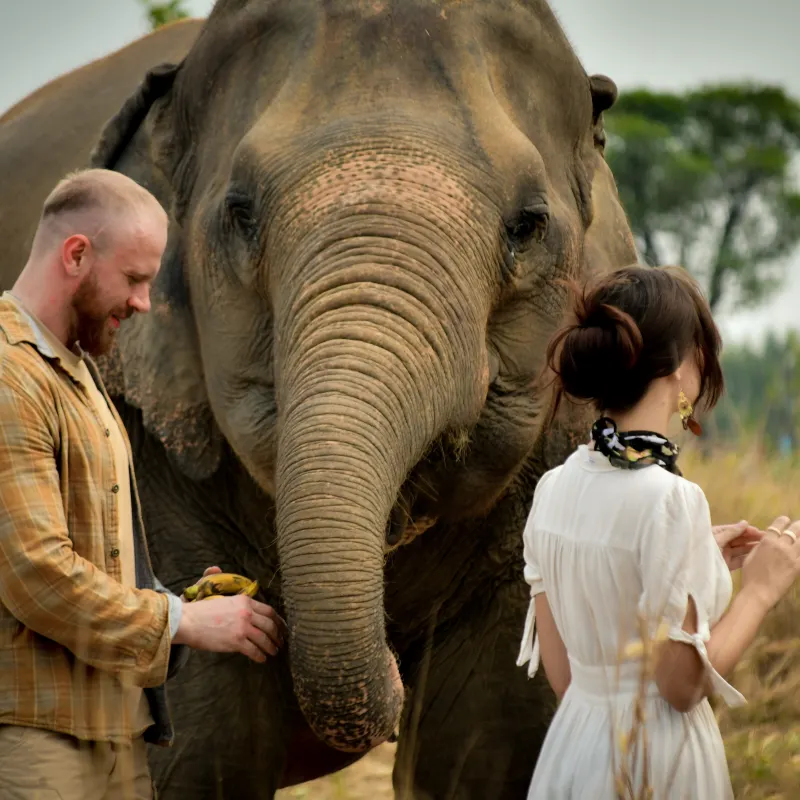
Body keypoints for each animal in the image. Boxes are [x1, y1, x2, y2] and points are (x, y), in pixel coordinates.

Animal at [0, 1, 639, 797]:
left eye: (528, 224)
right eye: (240, 213)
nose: (394, 665)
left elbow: (490, 743)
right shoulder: (152, 441)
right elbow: (205, 747)